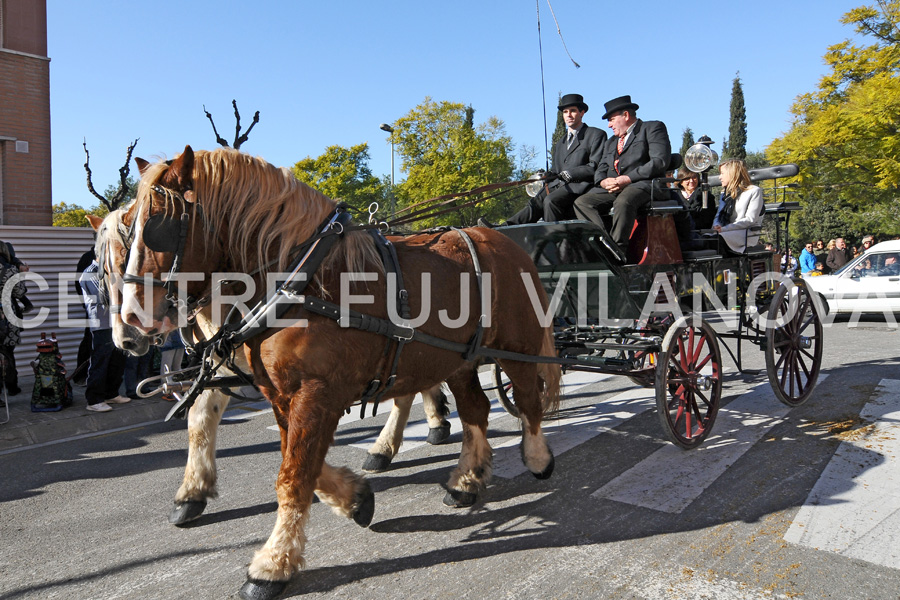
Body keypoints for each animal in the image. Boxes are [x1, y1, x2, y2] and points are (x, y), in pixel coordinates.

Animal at [117, 146, 560, 600]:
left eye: (157, 226)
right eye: (127, 228)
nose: (130, 322)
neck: (300, 280)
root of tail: (503, 240)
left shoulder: (317, 393)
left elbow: (294, 476)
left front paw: (273, 564)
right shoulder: (282, 394)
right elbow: (300, 464)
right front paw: (355, 499)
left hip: (517, 349)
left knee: (527, 400)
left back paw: (537, 457)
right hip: (457, 358)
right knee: (475, 410)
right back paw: (466, 481)